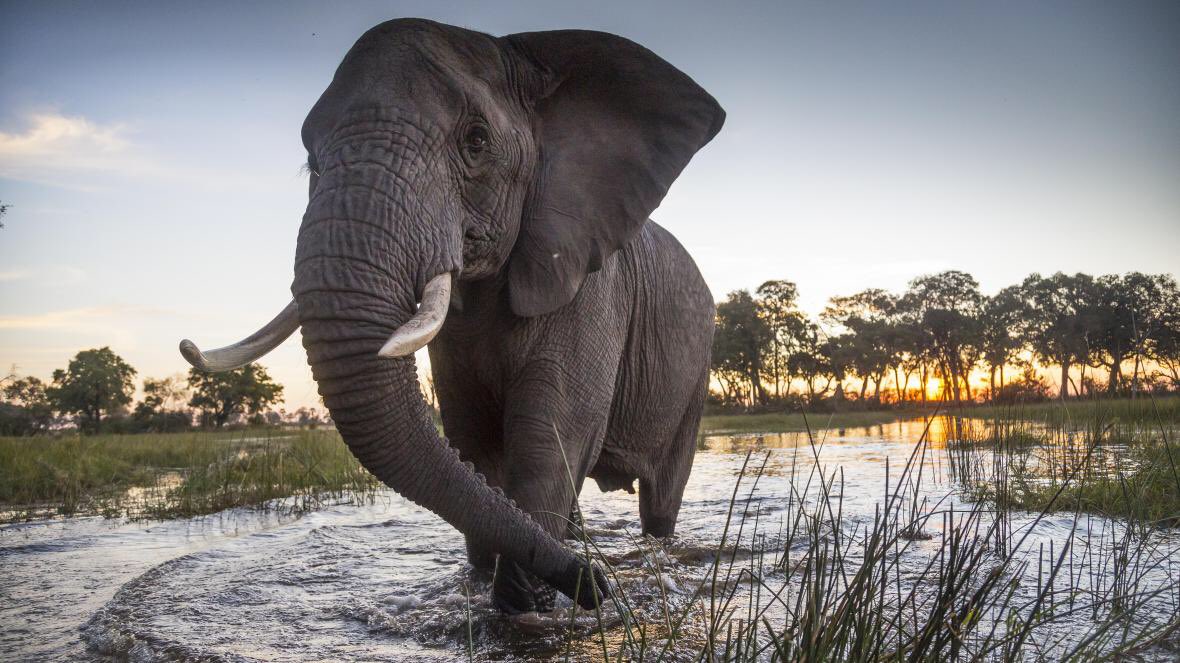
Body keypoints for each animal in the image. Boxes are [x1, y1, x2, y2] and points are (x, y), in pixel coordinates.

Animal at [180, 18, 724, 614]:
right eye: (312, 163)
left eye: (476, 142)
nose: (597, 587)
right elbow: (472, 439)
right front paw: (506, 582)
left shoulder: (590, 286)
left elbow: (551, 434)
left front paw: (528, 605)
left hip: (698, 363)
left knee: (662, 493)